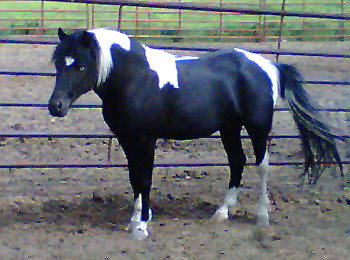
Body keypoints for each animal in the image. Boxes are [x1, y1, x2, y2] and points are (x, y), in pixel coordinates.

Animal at [47, 27, 344, 240]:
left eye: (81, 65)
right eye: (58, 64)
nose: (55, 106)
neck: (136, 78)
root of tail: (269, 66)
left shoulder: (146, 139)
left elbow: (144, 179)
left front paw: (141, 227)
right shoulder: (127, 139)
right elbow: (134, 179)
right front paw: (135, 219)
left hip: (257, 127)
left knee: (262, 166)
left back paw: (261, 216)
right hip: (229, 128)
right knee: (237, 162)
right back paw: (222, 212)